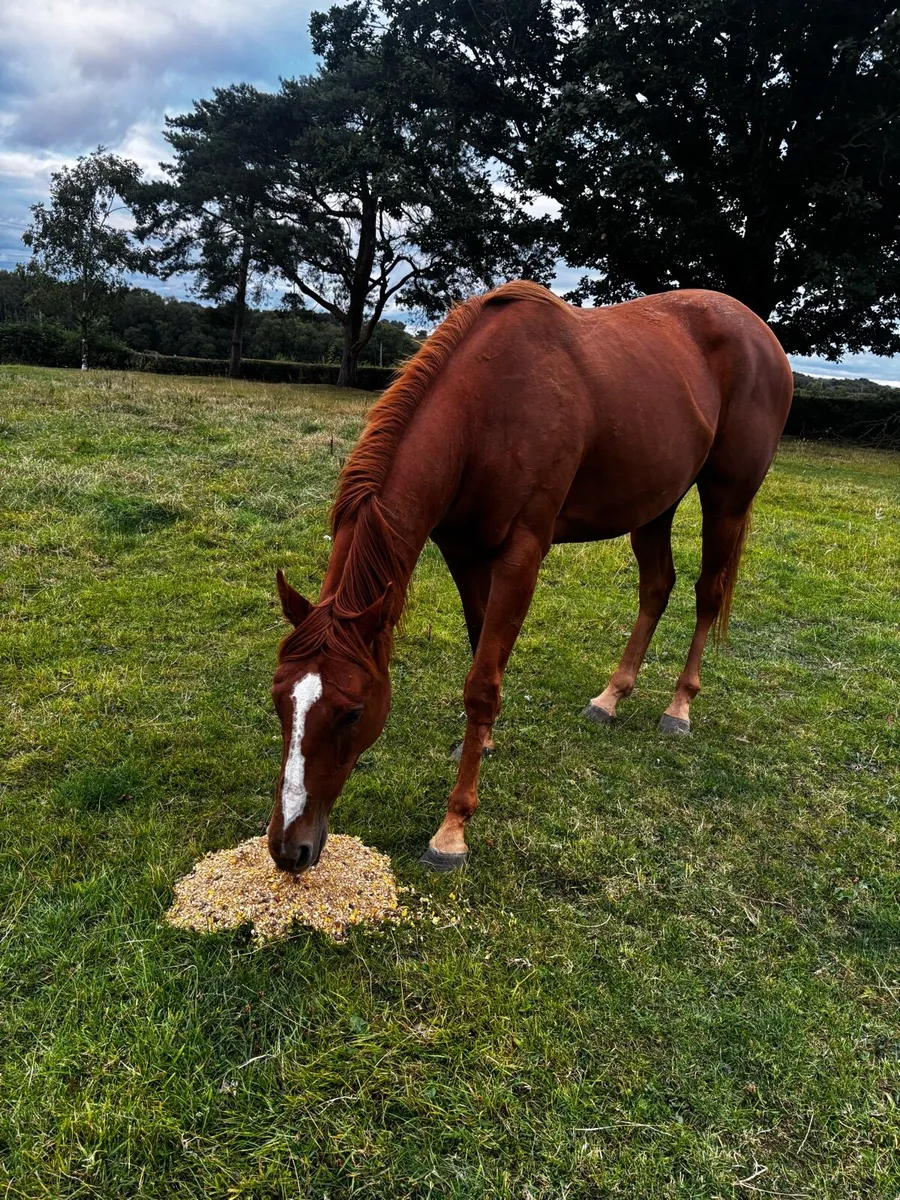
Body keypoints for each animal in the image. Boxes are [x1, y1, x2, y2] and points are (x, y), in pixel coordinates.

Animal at [268, 281, 793, 874]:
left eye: (353, 712)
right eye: (280, 699)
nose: (289, 848)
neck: (486, 410)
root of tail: (759, 331)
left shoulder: (522, 554)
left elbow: (482, 684)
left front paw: (451, 831)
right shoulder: (463, 551)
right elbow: (482, 651)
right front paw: (483, 745)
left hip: (727, 498)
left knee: (708, 594)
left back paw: (678, 707)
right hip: (655, 504)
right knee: (657, 587)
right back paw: (610, 697)